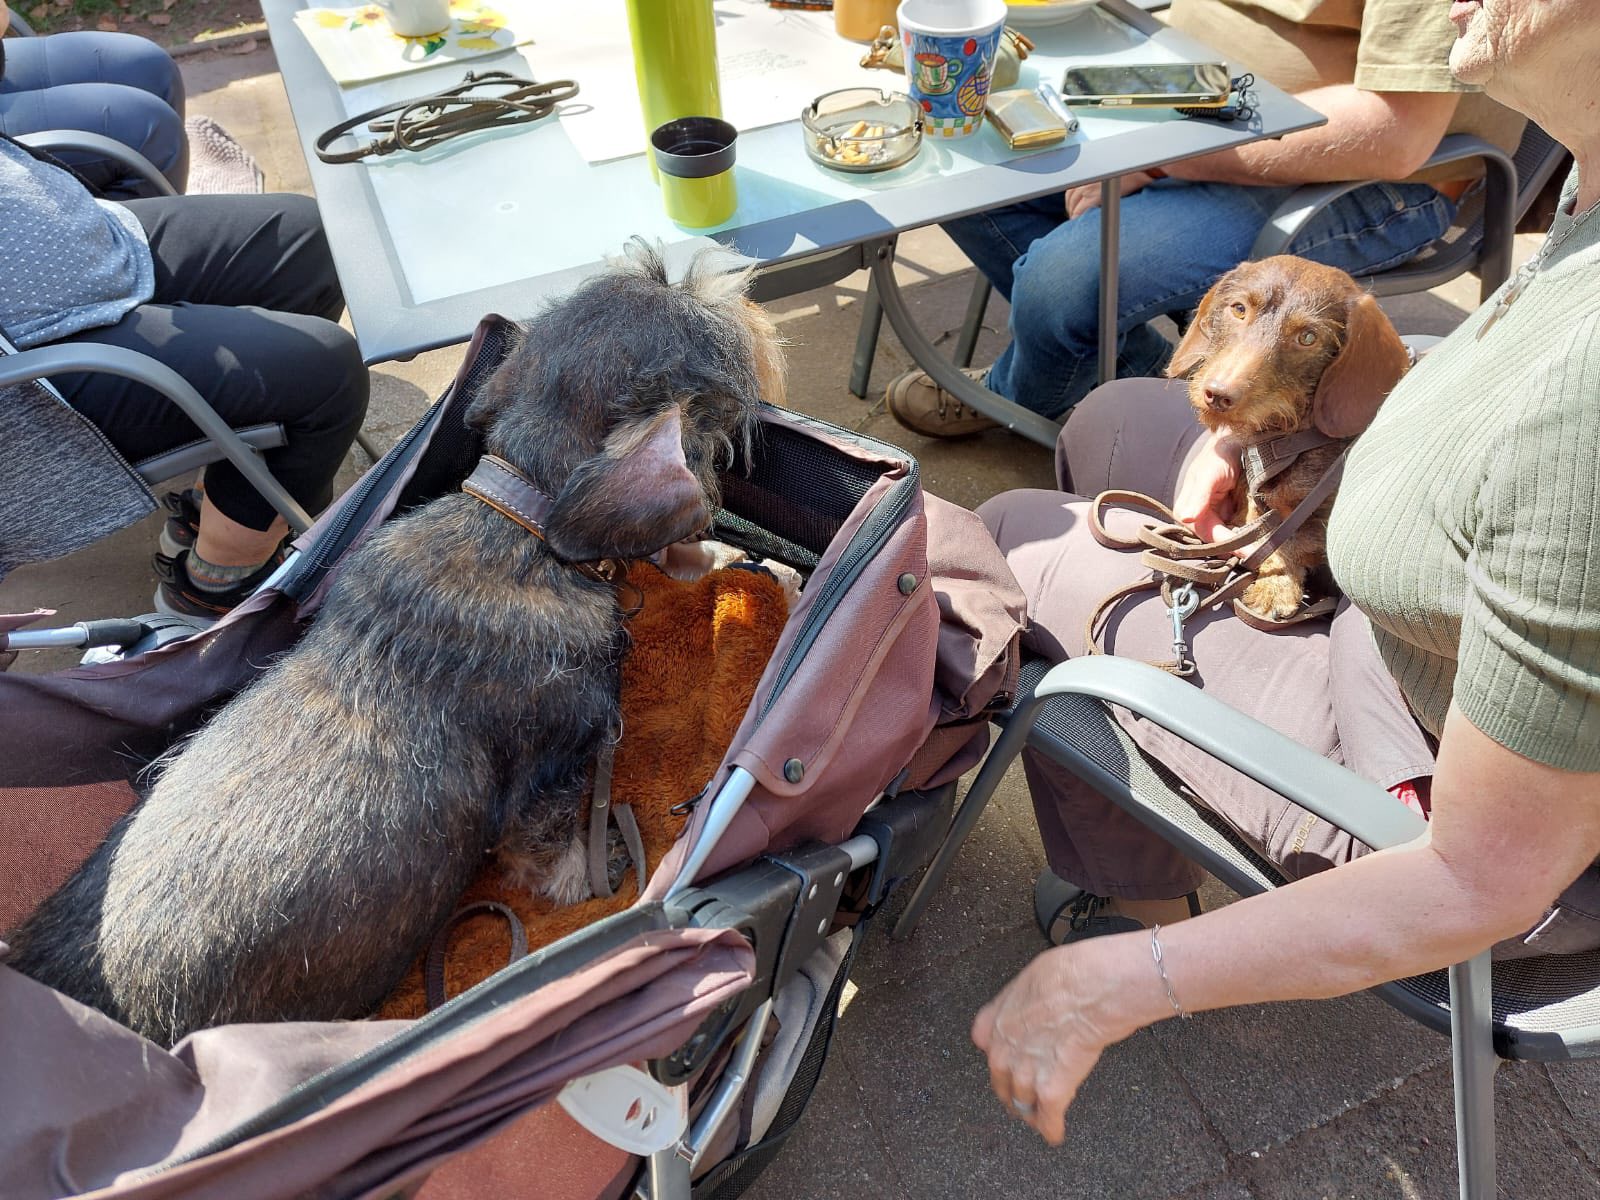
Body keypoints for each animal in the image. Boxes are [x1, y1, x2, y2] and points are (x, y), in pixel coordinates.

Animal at [6, 241, 786, 1047]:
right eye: (704, 312)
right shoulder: (555, 770)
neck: (519, 527)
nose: (737, 281)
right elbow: (547, 851)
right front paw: (586, 876)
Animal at [1165, 255, 1409, 619]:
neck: (1289, 438)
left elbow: (1289, 538)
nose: (1218, 395)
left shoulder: (1323, 519)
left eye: (1307, 337)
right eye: (1239, 309)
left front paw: (1274, 588)